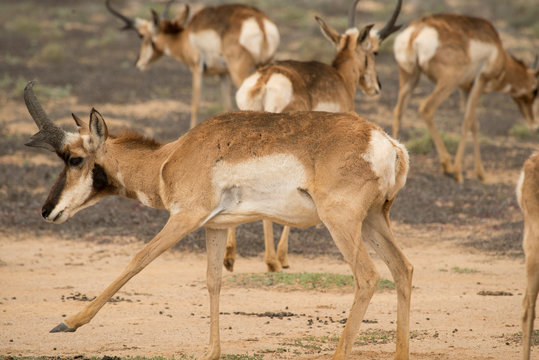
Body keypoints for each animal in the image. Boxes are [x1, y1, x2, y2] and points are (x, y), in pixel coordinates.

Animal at [24, 81, 414, 360]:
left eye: (75, 159)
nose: (46, 211)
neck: (170, 157)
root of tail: (385, 141)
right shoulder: (215, 227)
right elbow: (213, 281)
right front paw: (212, 351)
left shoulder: (185, 218)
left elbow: (139, 259)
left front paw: (68, 323)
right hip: (373, 221)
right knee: (403, 269)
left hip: (342, 223)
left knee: (368, 276)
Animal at [107, 0, 280, 129]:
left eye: (141, 35)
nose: (138, 62)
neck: (186, 36)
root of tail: (259, 21)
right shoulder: (222, 75)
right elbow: (227, 105)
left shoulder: (196, 70)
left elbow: (195, 105)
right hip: (264, 66)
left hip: (240, 72)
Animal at [230, 0, 402, 272]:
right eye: (374, 52)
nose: (376, 86)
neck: (339, 77)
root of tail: (266, 79)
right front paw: (283, 258)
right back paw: (272, 260)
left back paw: (230, 258)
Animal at [392, 13, 539, 183]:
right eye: (535, 90)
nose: (535, 127)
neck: (497, 50)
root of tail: (416, 31)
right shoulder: (479, 84)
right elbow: (467, 121)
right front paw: (458, 172)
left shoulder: (465, 90)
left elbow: (474, 124)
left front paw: (481, 173)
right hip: (448, 82)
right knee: (426, 109)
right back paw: (448, 166)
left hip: (410, 79)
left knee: (398, 111)